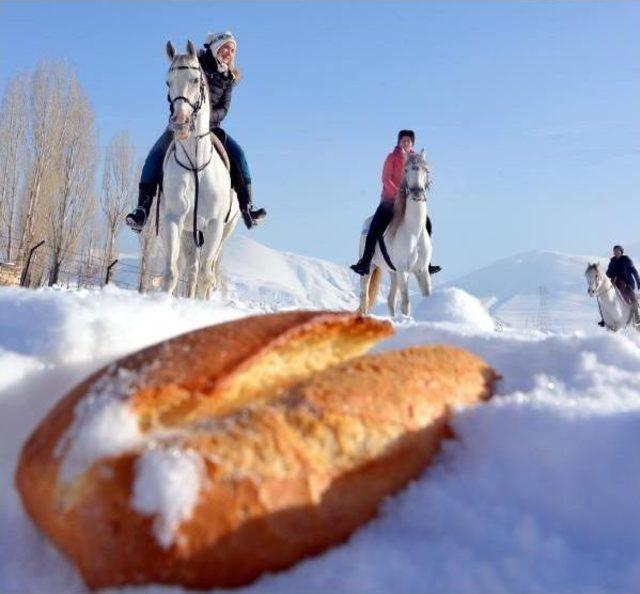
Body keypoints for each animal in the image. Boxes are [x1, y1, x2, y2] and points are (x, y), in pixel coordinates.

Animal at [160, 41, 240, 298]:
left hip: (225, 231)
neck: (196, 164)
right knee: (192, 269)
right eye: (168, 82)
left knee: (209, 270)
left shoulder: (214, 225)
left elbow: (207, 276)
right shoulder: (173, 220)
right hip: (189, 232)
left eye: (196, 79)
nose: (180, 122)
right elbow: (171, 273)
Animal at [358, 150, 432, 316]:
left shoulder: (422, 270)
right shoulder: (403, 270)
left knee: (390, 299)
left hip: (393, 272)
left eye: (426, 170)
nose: (417, 193)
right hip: (369, 269)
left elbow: (428, 296)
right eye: (406, 170)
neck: (413, 231)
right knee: (364, 298)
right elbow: (406, 304)